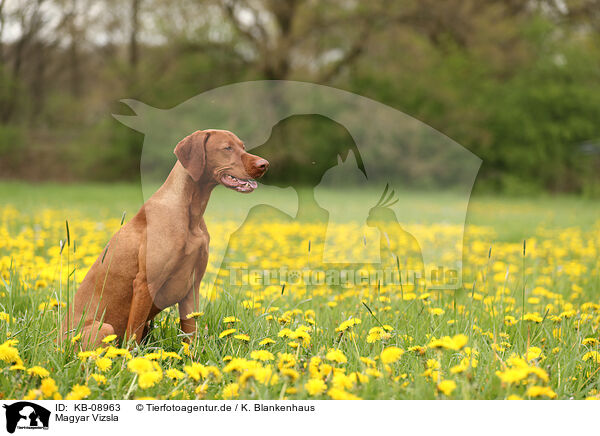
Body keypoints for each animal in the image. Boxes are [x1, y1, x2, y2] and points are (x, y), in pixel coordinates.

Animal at [62, 129, 268, 348]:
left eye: (243, 147)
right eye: (227, 148)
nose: (264, 164)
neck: (190, 213)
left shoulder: (192, 287)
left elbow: (191, 336)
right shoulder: (145, 284)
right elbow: (132, 337)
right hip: (104, 329)